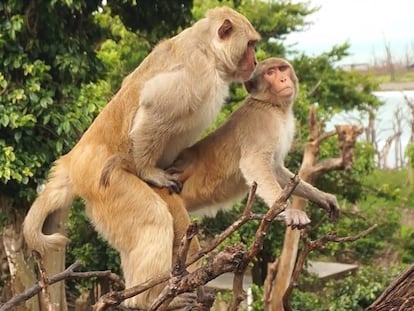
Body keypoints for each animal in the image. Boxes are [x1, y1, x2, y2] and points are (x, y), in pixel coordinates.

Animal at [21, 6, 258, 310]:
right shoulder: (197, 73)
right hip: (104, 183)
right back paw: (148, 299)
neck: (208, 49)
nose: (255, 61)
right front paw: (149, 171)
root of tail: (75, 160)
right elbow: (153, 106)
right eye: (250, 45)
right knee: (153, 219)